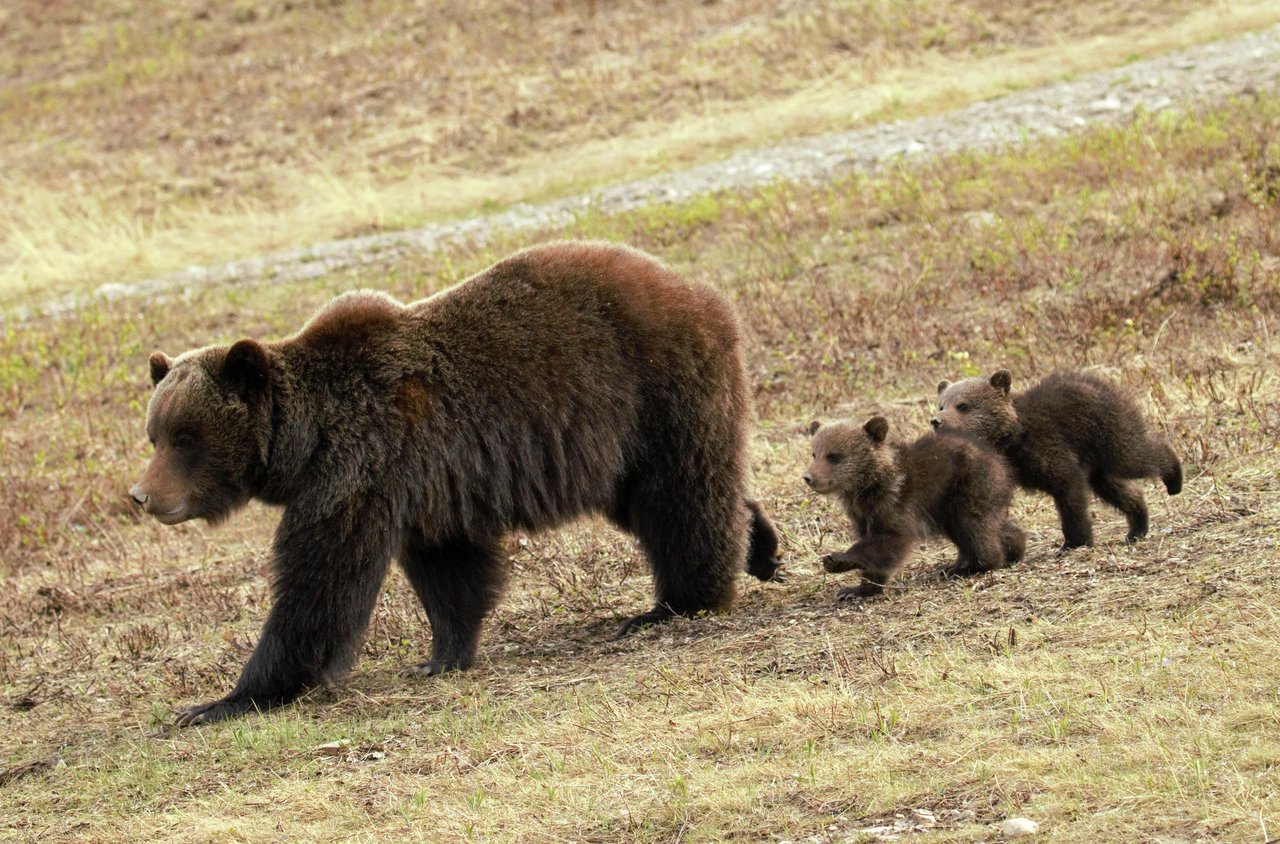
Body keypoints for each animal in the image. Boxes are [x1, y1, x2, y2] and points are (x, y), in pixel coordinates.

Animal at [129, 240, 782, 726]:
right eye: (154, 433)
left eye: (185, 437)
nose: (142, 495)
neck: (307, 441)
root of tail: (699, 291)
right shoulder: (421, 487)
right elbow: (450, 571)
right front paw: (440, 656)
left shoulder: (361, 466)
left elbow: (321, 583)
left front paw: (226, 699)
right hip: (619, 447)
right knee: (660, 498)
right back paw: (762, 548)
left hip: (652, 389)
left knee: (680, 496)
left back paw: (676, 603)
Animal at [804, 416, 1025, 599]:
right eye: (814, 454)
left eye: (834, 456)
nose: (808, 477)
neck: (868, 486)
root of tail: (1001, 462)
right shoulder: (862, 514)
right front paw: (856, 589)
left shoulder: (894, 503)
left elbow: (889, 541)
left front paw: (837, 561)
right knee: (987, 526)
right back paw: (1011, 548)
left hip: (967, 487)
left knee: (973, 527)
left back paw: (968, 567)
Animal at [931, 369, 1183, 551]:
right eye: (942, 404)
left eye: (963, 405)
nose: (936, 420)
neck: (1008, 441)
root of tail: (1101, 383)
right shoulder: (1004, 467)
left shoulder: (1047, 447)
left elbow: (1068, 488)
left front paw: (1074, 541)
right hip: (1095, 460)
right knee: (1114, 487)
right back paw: (1137, 527)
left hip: (1106, 431)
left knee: (1133, 456)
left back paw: (1174, 478)